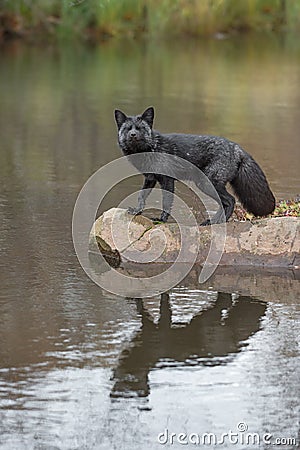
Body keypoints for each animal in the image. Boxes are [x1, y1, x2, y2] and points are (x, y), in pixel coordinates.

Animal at [113, 106, 276, 225]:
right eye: (128, 129)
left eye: (140, 128)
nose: (133, 135)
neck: (152, 147)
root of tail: (237, 148)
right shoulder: (150, 178)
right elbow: (141, 196)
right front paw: (137, 211)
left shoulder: (167, 179)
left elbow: (166, 202)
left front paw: (161, 220)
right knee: (225, 203)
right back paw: (214, 220)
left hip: (206, 182)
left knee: (230, 200)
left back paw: (217, 222)